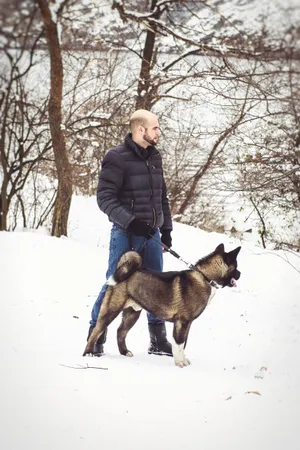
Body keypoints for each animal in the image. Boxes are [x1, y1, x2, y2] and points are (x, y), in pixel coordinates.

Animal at [82, 244, 241, 368]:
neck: (205, 277)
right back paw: (88, 353)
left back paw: (124, 352)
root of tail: (122, 269)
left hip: (132, 313)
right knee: (97, 330)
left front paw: (183, 360)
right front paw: (180, 363)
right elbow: (179, 344)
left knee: (120, 331)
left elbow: (183, 343)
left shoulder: (187, 323)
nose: (240, 274)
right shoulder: (182, 322)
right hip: (111, 310)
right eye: (236, 267)